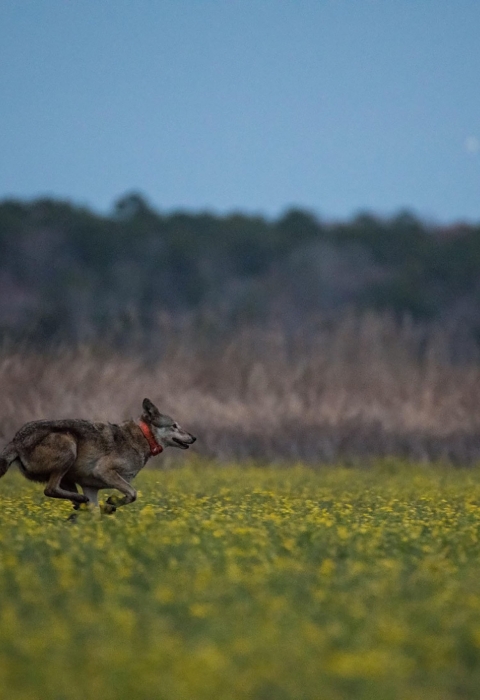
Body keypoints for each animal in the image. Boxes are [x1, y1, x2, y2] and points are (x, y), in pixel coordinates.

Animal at [0, 398, 196, 511]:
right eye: (174, 426)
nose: (194, 437)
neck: (144, 437)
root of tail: (15, 441)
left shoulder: (91, 488)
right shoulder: (104, 471)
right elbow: (133, 494)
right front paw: (111, 504)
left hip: (68, 478)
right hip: (69, 448)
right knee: (50, 490)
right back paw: (80, 500)